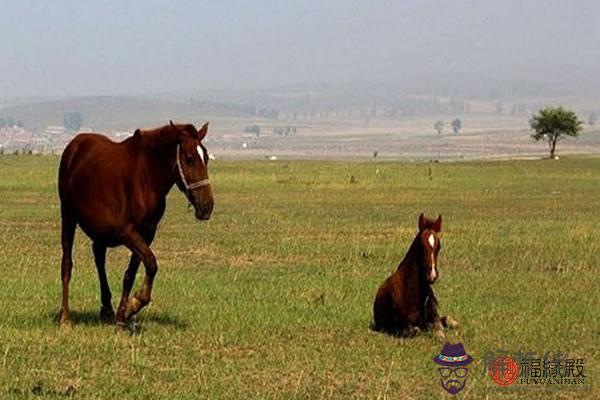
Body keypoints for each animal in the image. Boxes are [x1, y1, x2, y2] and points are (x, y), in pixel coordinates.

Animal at [58, 120, 213, 326]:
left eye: (206, 158)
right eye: (189, 159)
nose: (207, 205)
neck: (144, 178)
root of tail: (74, 145)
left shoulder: (146, 233)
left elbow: (132, 273)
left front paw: (123, 316)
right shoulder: (127, 232)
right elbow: (151, 263)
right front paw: (135, 303)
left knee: (99, 257)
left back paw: (107, 309)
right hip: (68, 217)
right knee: (67, 265)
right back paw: (65, 317)